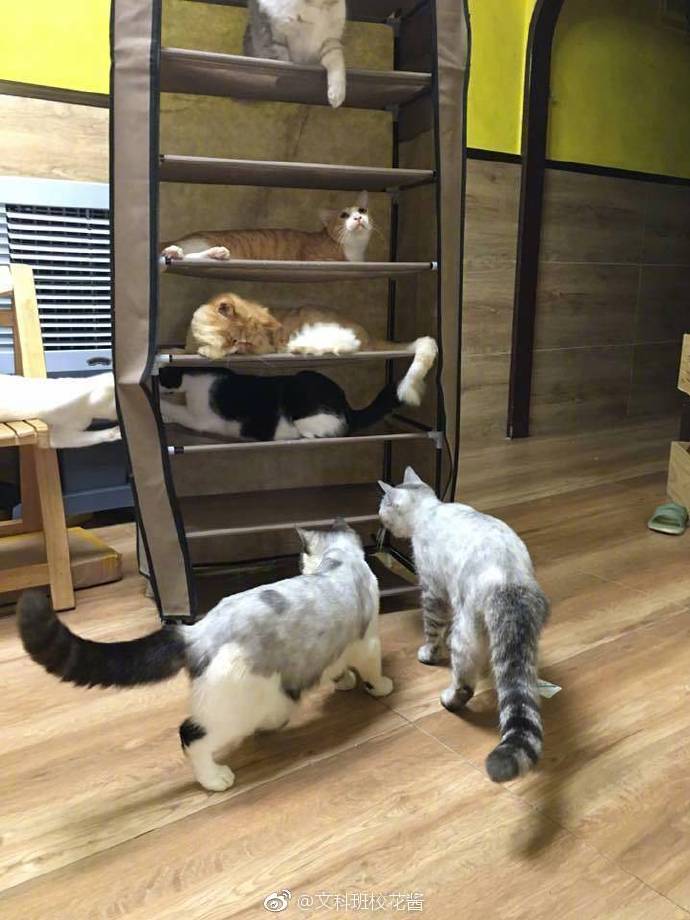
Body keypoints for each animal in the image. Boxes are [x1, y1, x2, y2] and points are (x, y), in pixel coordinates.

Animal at [17, 520, 393, 791]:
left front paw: (343, 681)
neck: (338, 561)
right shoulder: (370, 641)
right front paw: (380, 687)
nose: (300, 566)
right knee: (190, 735)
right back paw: (215, 779)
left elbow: (337, 667)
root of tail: (197, 631)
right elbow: (372, 671)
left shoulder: (332, 647)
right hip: (233, 710)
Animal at [157, 341, 436, 440]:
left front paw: (162, 407)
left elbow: (179, 411)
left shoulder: (201, 417)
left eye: (161, 373)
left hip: (304, 404)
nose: (156, 382)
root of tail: (346, 405)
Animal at [161, 192, 371, 264]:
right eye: (343, 215)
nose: (358, 217)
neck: (355, 248)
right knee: (182, 254)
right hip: (200, 243)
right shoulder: (315, 257)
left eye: (362, 210)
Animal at [378, 467, 550, 783]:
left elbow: (433, 629)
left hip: (466, 632)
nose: (378, 516)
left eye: (383, 505)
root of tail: (509, 584)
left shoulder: (433, 591)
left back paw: (448, 699)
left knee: (464, 683)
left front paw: (429, 653)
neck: (431, 510)